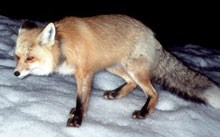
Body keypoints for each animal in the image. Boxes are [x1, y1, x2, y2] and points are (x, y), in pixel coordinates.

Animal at [13, 14, 220, 127]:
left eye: (30, 58)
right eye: (17, 57)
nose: (15, 74)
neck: (64, 46)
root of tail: (153, 36)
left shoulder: (85, 74)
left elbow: (81, 99)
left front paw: (77, 120)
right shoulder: (87, 73)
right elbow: (84, 101)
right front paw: (80, 113)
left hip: (133, 69)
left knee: (153, 93)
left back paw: (143, 113)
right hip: (114, 67)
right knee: (131, 83)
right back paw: (115, 94)